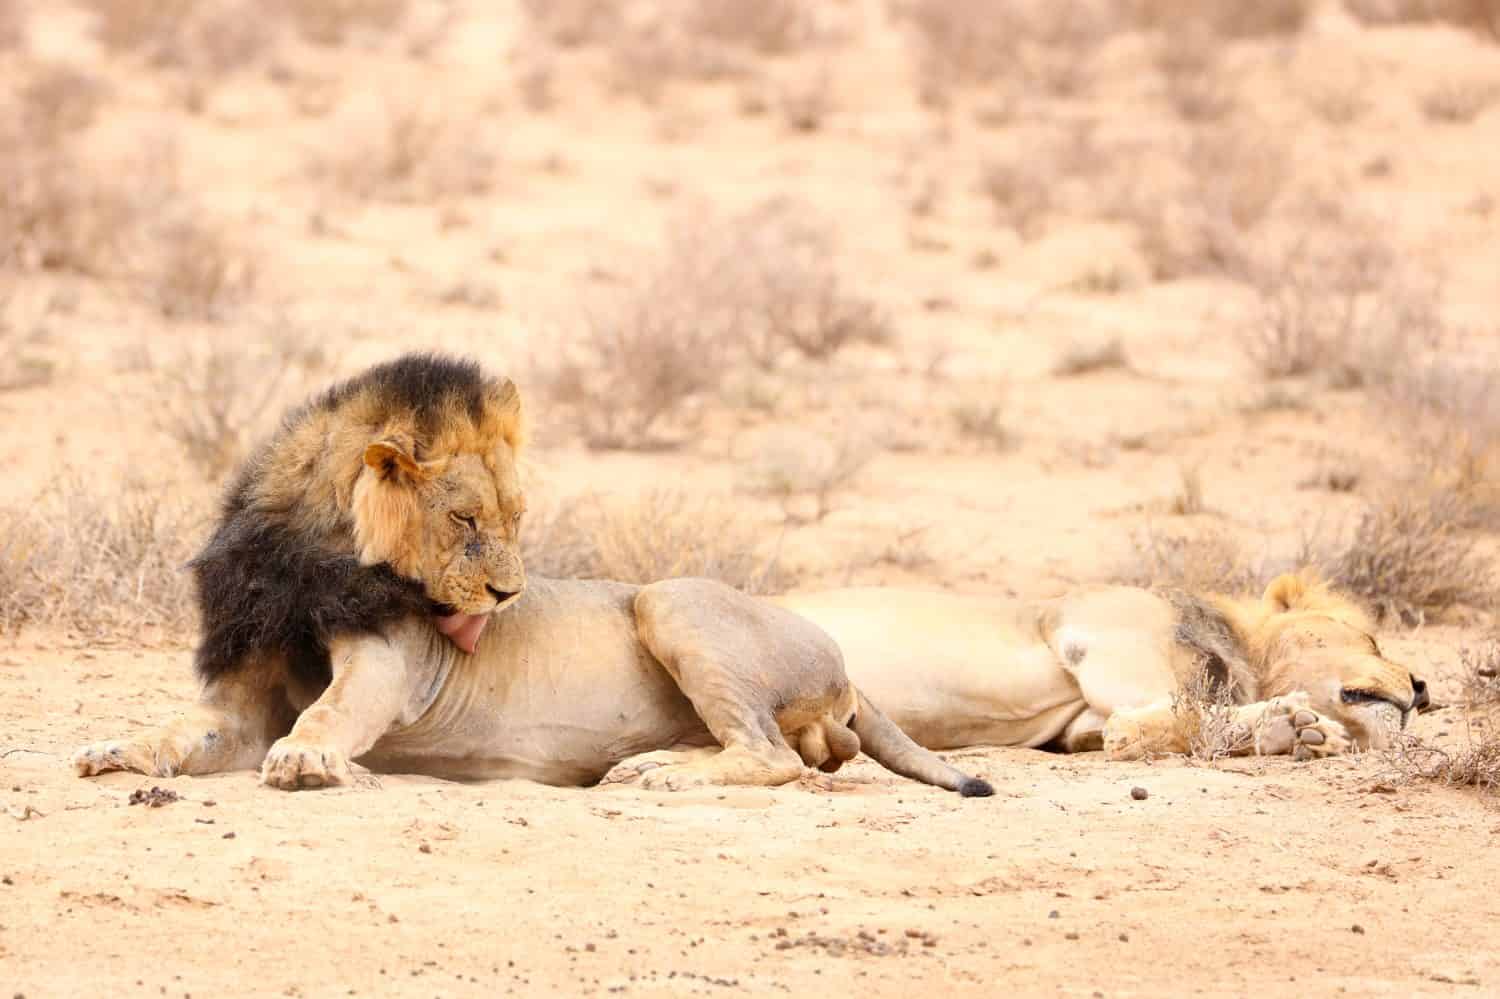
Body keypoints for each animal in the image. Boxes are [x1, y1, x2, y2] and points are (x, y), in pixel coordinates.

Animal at [74, 355, 991, 797]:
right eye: (465, 521)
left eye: (516, 517)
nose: (509, 595)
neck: (310, 559)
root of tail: (844, 664)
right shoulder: (239, 698)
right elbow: (180, 729)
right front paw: (116, 746)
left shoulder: (387, 665)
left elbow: (329, 710)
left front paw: (305, 758)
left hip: (669, 600)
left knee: (774, 755)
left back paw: (660, 772)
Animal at [778, 573, 1429, 761]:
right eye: (1371, 638)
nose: (1423, 688)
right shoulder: (1095, 638)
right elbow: (1167, 715)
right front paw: (1288, 723)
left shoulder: (1076, 725)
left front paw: (1292, 732)